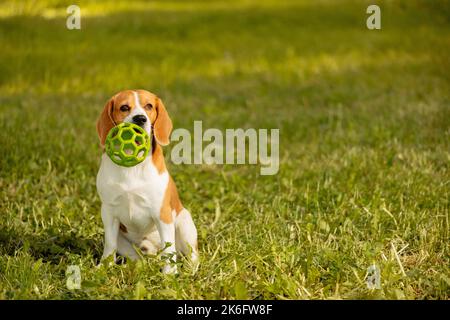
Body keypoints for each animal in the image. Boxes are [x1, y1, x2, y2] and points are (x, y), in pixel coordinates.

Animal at [96, 89, 198, 272]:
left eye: (149, 106)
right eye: (124, 107)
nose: (140, 118)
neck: (132, 165)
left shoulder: (162, 214)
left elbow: (169, 248)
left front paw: (169, 274)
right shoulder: (108, 212)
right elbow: (109, 244)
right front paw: (104, 267)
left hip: (185, 223)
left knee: (191, 254)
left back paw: (190, 269)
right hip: (124, 241)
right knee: (136, 257)